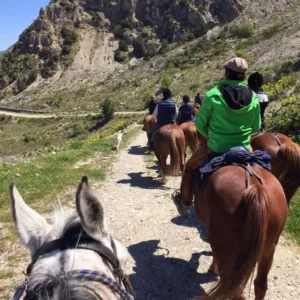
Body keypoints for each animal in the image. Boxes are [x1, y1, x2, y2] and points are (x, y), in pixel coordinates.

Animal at [192, 163, 288, 300]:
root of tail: (257, 188)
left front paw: (213, 268)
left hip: (223, 246)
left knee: (235, 290)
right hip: (269, 249)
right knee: (260, 285)